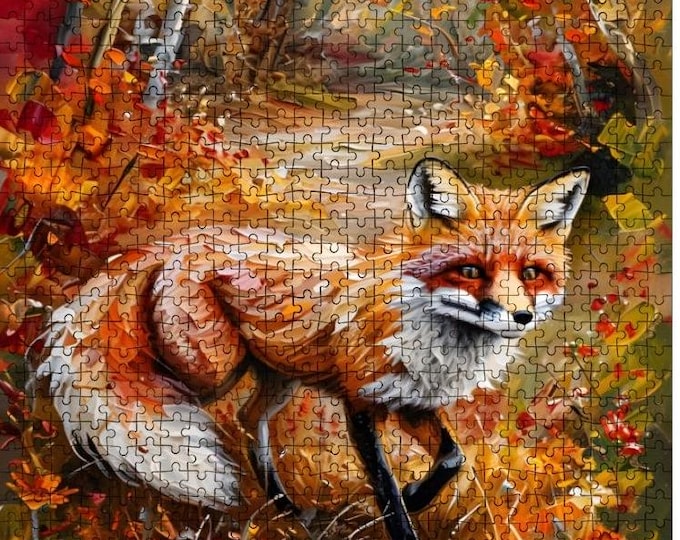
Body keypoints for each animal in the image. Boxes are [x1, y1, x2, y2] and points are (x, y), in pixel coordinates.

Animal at [32, 158, 589, 528]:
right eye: (471, 271)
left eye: (532, 273)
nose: (519, 316)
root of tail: (173, 244)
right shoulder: (361, 403)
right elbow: (387, 490)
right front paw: (401, 511)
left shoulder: (411, 401)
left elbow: (451, 460)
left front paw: (416, 491)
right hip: (211, 368)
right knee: (146, 399)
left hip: (277, 376)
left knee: (247, 419)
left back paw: (286, 510)